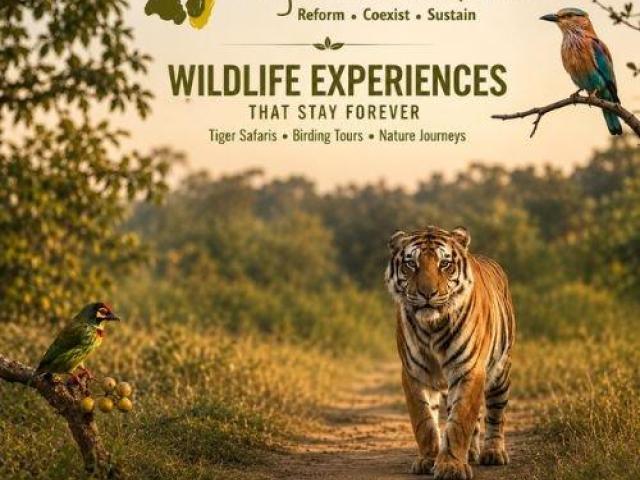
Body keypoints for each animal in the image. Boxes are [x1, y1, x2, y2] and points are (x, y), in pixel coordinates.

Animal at [385, 226, 515, 480]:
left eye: (444, 264)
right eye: (411, 264)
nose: (427, 293)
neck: (432, 327)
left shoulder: (468, 370)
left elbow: (459, 421)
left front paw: (451, 466)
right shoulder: (414, 373)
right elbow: (424, 420)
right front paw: (428, 460)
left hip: (500, 372)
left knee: (496, 412)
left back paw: (493, 452)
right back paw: (471, 453)